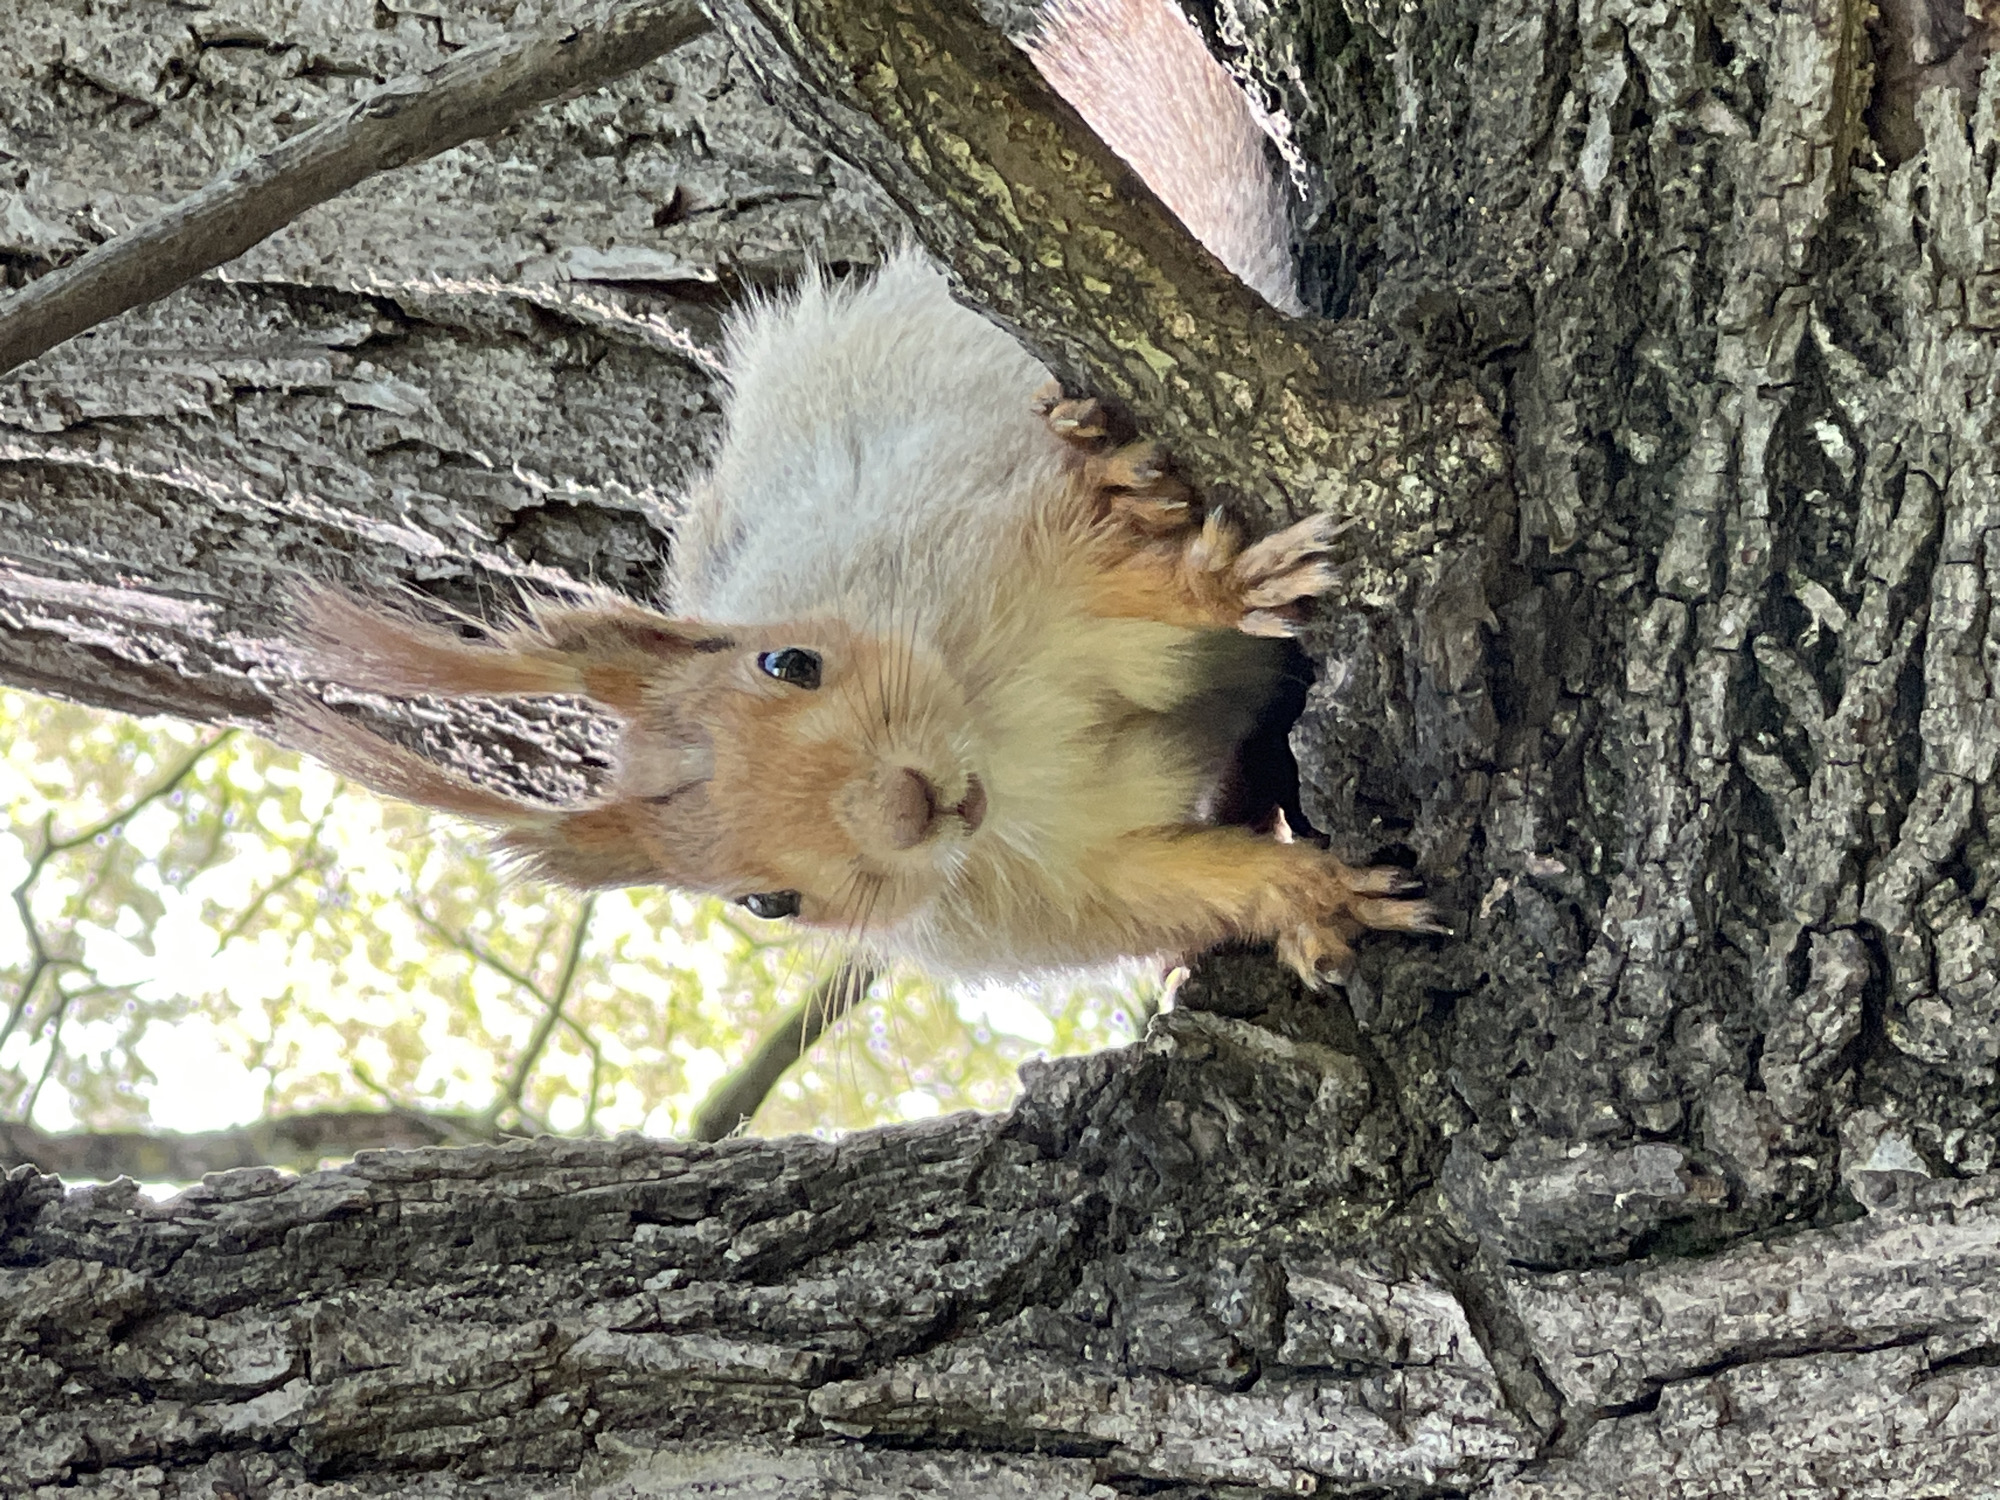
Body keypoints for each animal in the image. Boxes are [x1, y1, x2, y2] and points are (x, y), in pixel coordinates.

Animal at [282, 0, 1435, 985]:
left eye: (788, 662)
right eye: (765, 904)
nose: (908, 809)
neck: (997, 745)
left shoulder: (985, 540)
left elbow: (1123, 584)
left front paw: (1223, 582)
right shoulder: (1049, 888)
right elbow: (1176, 881)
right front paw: (1307, 897)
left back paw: (1107, 444)